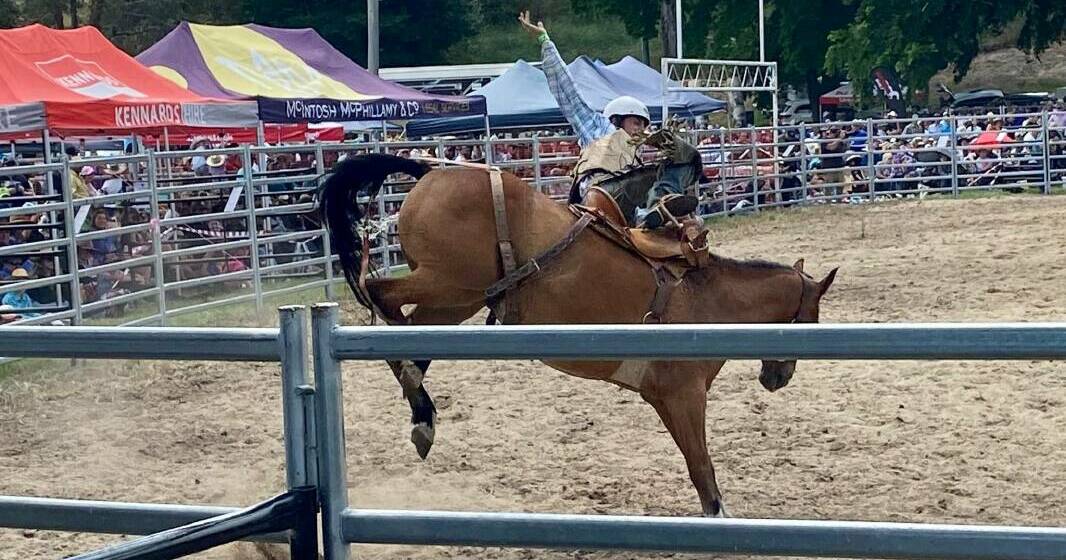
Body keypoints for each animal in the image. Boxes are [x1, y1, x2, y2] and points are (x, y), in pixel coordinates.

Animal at [319, 152, 835, 516]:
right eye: (810, 320)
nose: (779, 378)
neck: (708, 299)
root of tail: (430, 170)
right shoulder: (684, 397)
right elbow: (702, 471)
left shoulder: (667, 400)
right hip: (446, 281)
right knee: (380, 295)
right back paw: (411, 382)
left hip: (459, 298)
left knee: (416, 338)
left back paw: (423, 416)